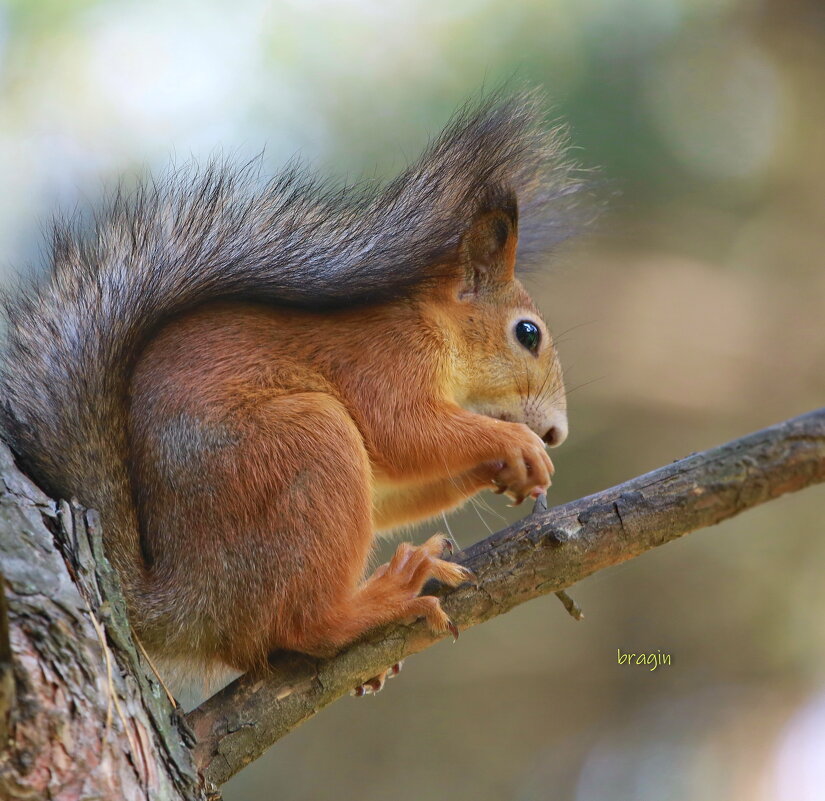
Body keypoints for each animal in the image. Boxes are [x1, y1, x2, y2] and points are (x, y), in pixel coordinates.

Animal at [0, 89, 584, 688]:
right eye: (528, 334)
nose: (556, 432)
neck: (436, 324)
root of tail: (189, 604)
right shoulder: (386, 360)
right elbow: (404, 432)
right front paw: (513, 444)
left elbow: (395, 489)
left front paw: (506, 469)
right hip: (304, 446)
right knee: (306, 626)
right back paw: (386, 596)